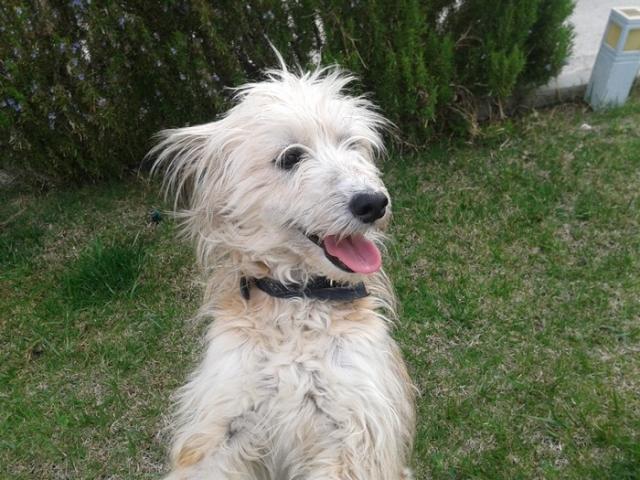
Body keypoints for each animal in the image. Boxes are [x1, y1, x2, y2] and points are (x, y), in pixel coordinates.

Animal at [150, 58, 416, 480]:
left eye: (351, 144)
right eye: (291, 157)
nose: (373, 203)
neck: (297, 304)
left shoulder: (354, 428)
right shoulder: (225, 421)